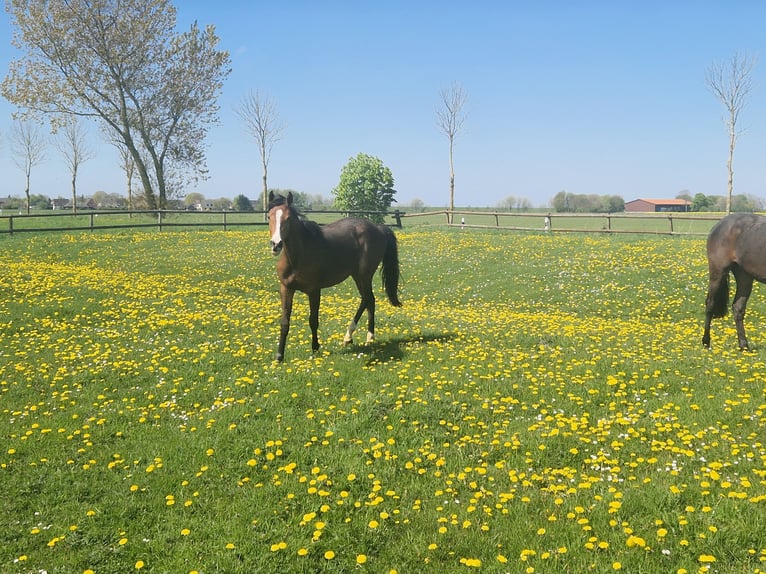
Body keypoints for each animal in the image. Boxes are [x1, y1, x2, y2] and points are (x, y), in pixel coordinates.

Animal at [268, 194, 404, 364]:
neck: (297, 257)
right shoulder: (286, 288)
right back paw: (359, 337)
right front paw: (279, 356)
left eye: (288, 218)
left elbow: (313, 320)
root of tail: (379, 228)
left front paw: (315, 348)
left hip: (364, 275)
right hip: (357, 275)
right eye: (269, 216)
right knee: (369, 300)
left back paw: (358, 336)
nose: (276, 245)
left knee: (368, 299)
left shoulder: (314, 291)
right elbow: (284, 322)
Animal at [704, 214, 766, 352]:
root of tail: (718, 225)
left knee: (738, 308)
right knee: (710, 303)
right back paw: (706, 342)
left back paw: (744, 346)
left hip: (744, 276)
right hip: (718, 272)